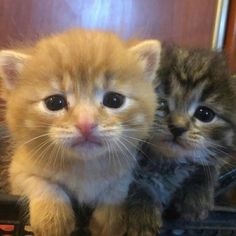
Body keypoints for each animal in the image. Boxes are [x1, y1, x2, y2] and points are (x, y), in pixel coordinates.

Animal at [0, 29, 160, 236]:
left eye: (114, 100)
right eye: (54, 102)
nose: (86, 124)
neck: (84, 167)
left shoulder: (127, 169)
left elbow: (117, 188)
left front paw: (110, 218)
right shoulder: (17, 173)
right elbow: (41, 182)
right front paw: (53, 218)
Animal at [126, 45, 236, 235]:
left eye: (204, 114)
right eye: (160, 104)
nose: (177, 127)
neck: (166, 162)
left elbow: (209, 165)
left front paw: (197, 194)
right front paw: (139, 214)